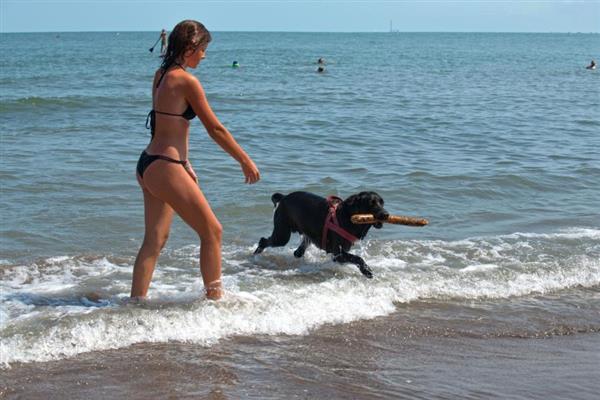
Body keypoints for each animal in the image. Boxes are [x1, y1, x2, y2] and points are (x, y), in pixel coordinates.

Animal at [254, 191, 389, 278]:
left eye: (382, 203)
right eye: (371, 203)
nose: (386, 214)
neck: (348, 217)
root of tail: (284, 197)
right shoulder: (338, 254)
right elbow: (358, 258)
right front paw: (367, 271)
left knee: (298, 252)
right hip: (282, 235)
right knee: (263, 240)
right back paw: (255, 254)